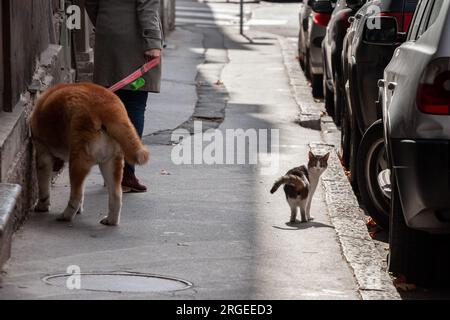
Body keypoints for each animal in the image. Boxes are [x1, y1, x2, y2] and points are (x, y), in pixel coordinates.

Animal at [29, 84, 150, 226]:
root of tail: (108, 106)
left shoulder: (42, 153)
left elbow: (43, 186)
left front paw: (42, 206)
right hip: (111, 164)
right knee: (116, 196)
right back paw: (111, 220)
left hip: (78, 162)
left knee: (76, 195)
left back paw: (66, 216)